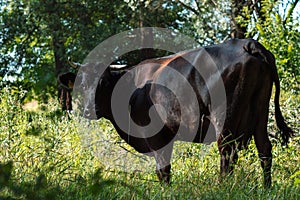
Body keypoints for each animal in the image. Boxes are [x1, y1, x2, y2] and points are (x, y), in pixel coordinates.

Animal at [59, 38, 292, 187]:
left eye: (104, 82)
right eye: (81, 83)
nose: (89, 109)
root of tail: (248, 43)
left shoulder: (157, 136)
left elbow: (163, 170)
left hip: (225, 118)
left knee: (227, 153)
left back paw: (223, 187)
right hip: (260, 112)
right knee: (264, 150)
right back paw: (267, 188)